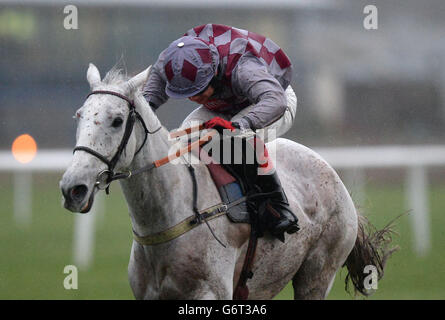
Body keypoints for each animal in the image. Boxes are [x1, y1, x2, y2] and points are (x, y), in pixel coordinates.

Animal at [59, 63, 396, 298]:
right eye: (79, 115)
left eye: (117, 120)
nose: (72, 188)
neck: (171, 215)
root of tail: (332, 173)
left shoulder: (211, 292)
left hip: (317, 275)